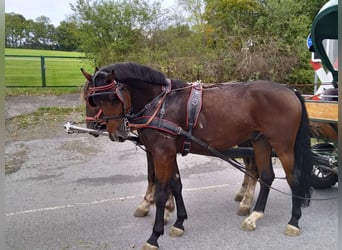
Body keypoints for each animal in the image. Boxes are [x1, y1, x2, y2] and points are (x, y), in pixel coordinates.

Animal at [81, 61, 312, 249]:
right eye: (94, 100)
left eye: (113, 97)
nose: (116, 133)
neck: (160, 103)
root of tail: (290, 90)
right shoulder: (167, 152)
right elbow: (176, 185)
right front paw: (179, 222)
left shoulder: (162, 153)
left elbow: (162, 191)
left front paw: (155, 235)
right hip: (260, 141)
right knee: (266, 176)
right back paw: (254, 215)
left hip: (282, 145)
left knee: (293, 178)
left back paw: (293, 221)